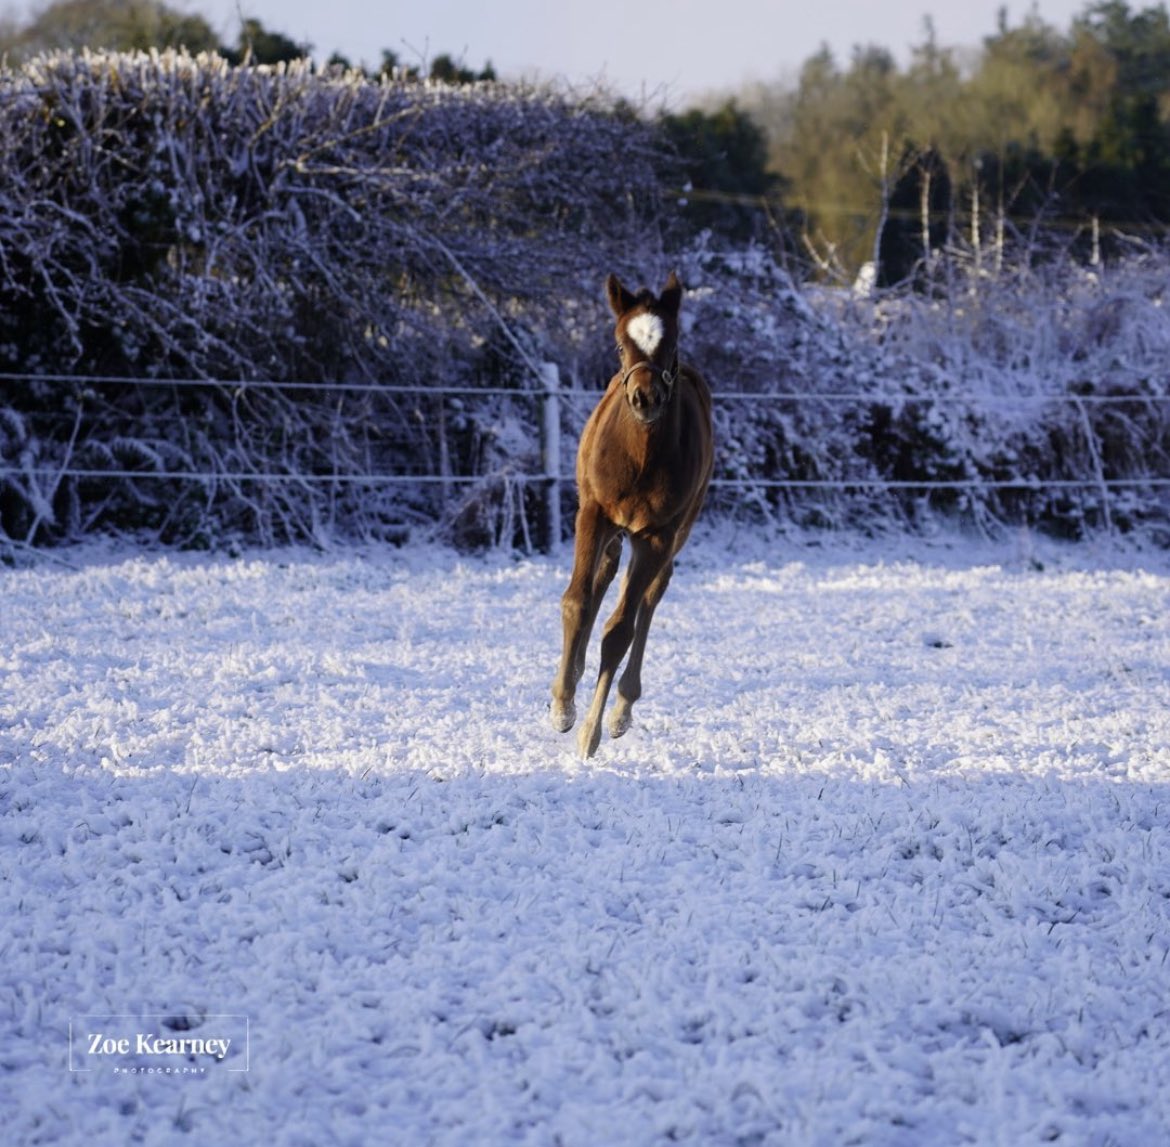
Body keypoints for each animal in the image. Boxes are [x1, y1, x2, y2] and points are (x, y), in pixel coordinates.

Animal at [550, 270, 714, 758]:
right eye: (620, 344)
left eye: (671, 342)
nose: (646, 398)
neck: (640, 456)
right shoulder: (593, 513)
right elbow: (576, 601)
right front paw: (562, 704)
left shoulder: (657, 534)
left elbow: (621, 629)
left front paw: (591, 731)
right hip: (612, 528)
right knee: (603, 576)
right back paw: (575, 671)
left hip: (676, 531)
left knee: (650, 596)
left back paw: (622, 706)